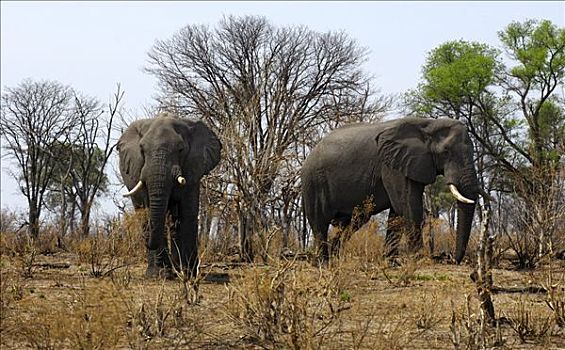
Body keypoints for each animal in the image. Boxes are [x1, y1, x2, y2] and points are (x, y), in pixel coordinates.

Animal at [118, 113, 221, 278]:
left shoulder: (192, 168)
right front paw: (162, 274)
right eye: (141, 149)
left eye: (180, 149)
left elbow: (187, 213)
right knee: (144, 214)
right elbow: (150, 212)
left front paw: (188, 274)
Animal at [300, 116, 480, 264]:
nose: (452, 259)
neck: (428, 124)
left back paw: (334, 257)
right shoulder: (391, 166)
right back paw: (323, 262)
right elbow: (407, 205)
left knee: (353, 222)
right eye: (446, 152)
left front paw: (391, 261)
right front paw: (419, 258)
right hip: (313, 181)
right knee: (320, 223)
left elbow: (397, 213)